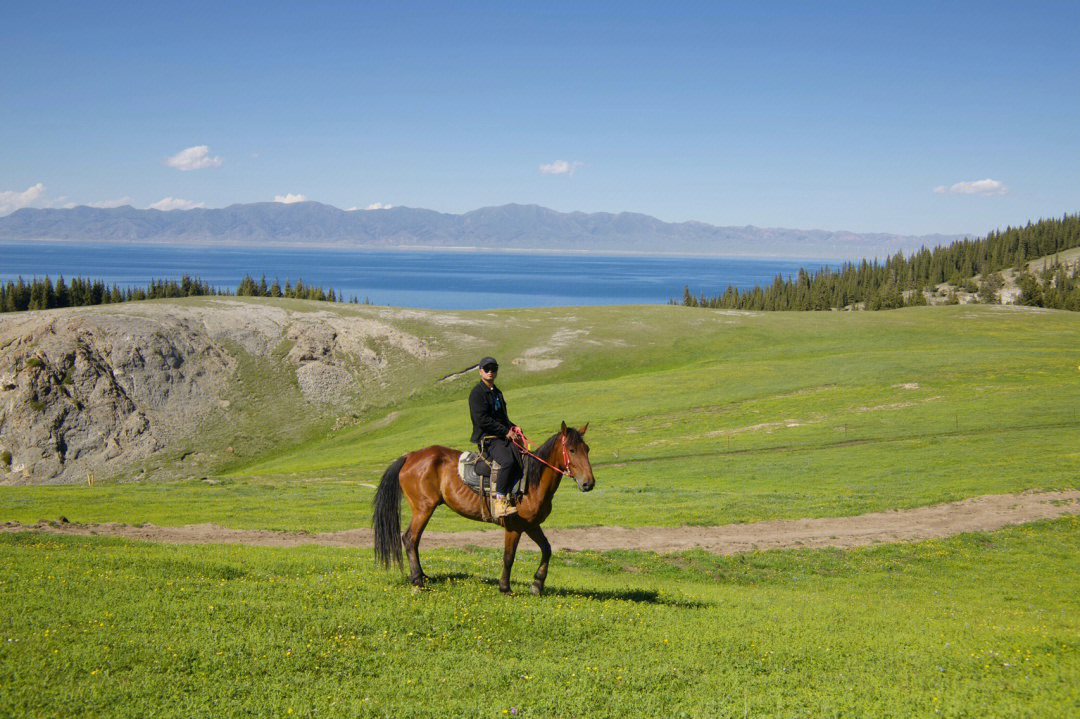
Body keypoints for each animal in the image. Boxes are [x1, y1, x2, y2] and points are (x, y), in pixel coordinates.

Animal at [369, 421, 591, 591]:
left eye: (587, 450)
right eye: (571, 450)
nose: (589, 483)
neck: (531, 481)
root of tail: (409, 456)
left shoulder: (531, 525)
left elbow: (547, 549)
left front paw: (537, 584)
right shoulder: (514, 527)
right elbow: (509, 556)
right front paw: (505, 587)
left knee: (414, 541)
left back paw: (423, 576)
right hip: (423, 508)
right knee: (410, 538)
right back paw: (417, 581)